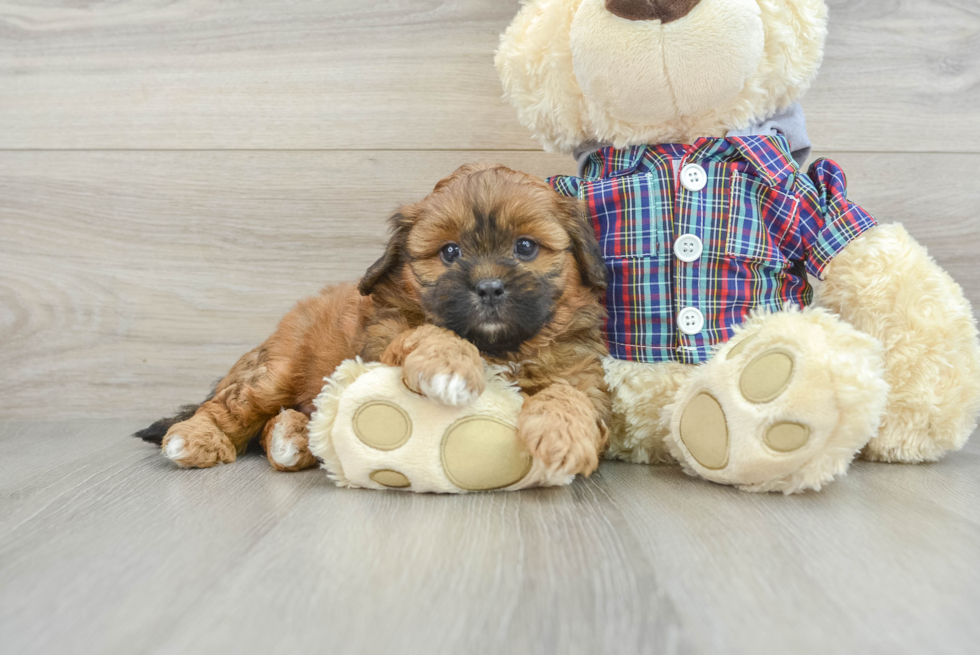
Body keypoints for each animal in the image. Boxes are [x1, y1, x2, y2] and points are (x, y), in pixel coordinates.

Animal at [136, 165, 612, 476]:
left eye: (526, 247)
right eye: (450, 252)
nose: (489, 287)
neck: (499, 347)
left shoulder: (582, 375)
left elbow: (573, 396)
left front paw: (563, 436)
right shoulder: (382, 348)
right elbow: (428, 331)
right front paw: (450, 368)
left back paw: (293, 438)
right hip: (276, 369)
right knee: (233, 406)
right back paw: (195, 439)